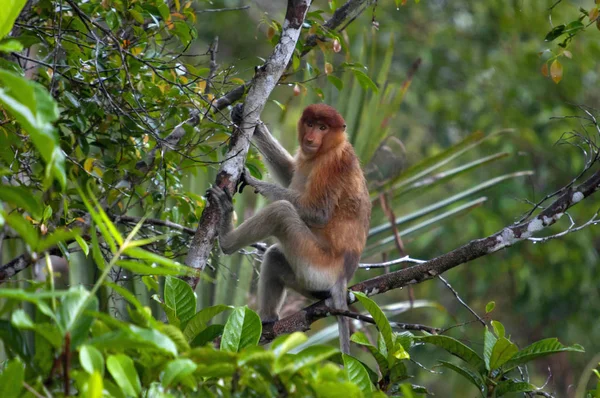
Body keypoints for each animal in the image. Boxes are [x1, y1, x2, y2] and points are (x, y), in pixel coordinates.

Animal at [211, 103, 370, 354]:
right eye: (310, 124)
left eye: (323, 127)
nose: (310, 138)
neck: (327, 149)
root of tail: (342, 277)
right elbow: (290, 172)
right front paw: (252, 123)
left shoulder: (333, 164)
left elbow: (317, 212)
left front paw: (252, 181)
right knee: (275, 256)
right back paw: (267, 320)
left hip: (315, 264)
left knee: (281, 212)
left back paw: (226, 236)